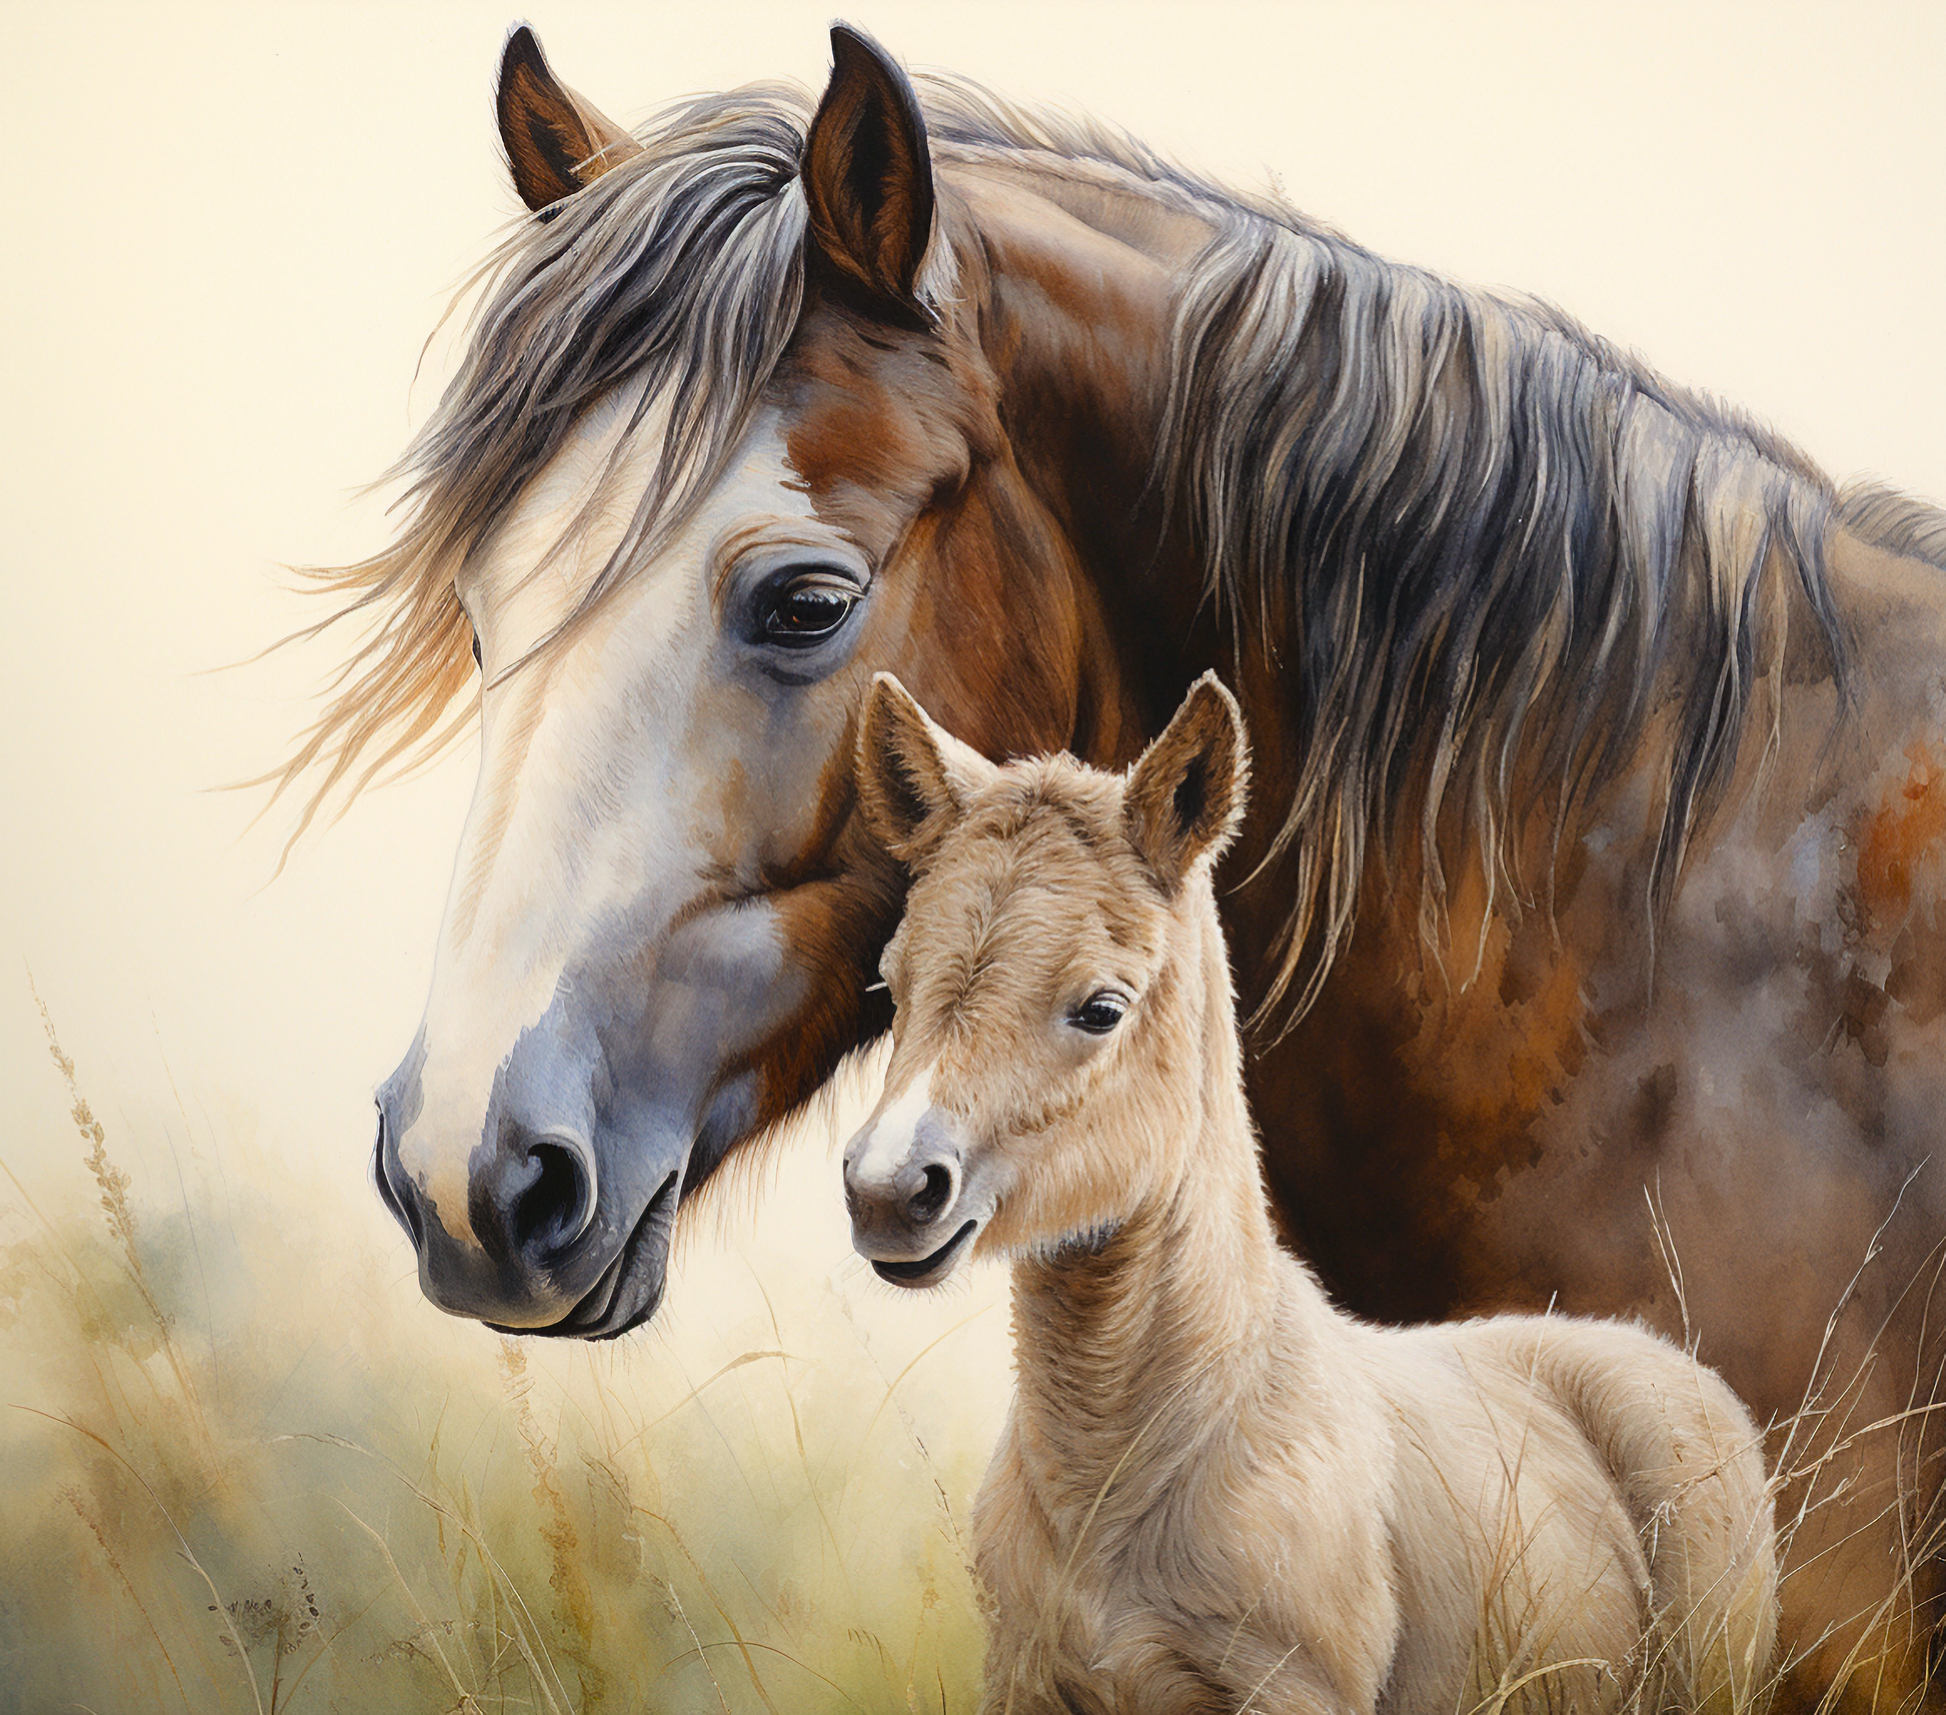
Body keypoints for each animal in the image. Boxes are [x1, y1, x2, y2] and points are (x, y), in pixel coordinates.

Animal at [842, 668, 1778, 1714]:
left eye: (1101, 1008)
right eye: (891, 987)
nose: (886, 1190)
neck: (1122, 1474)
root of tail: (1670, 1361)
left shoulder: (1290, 1689)